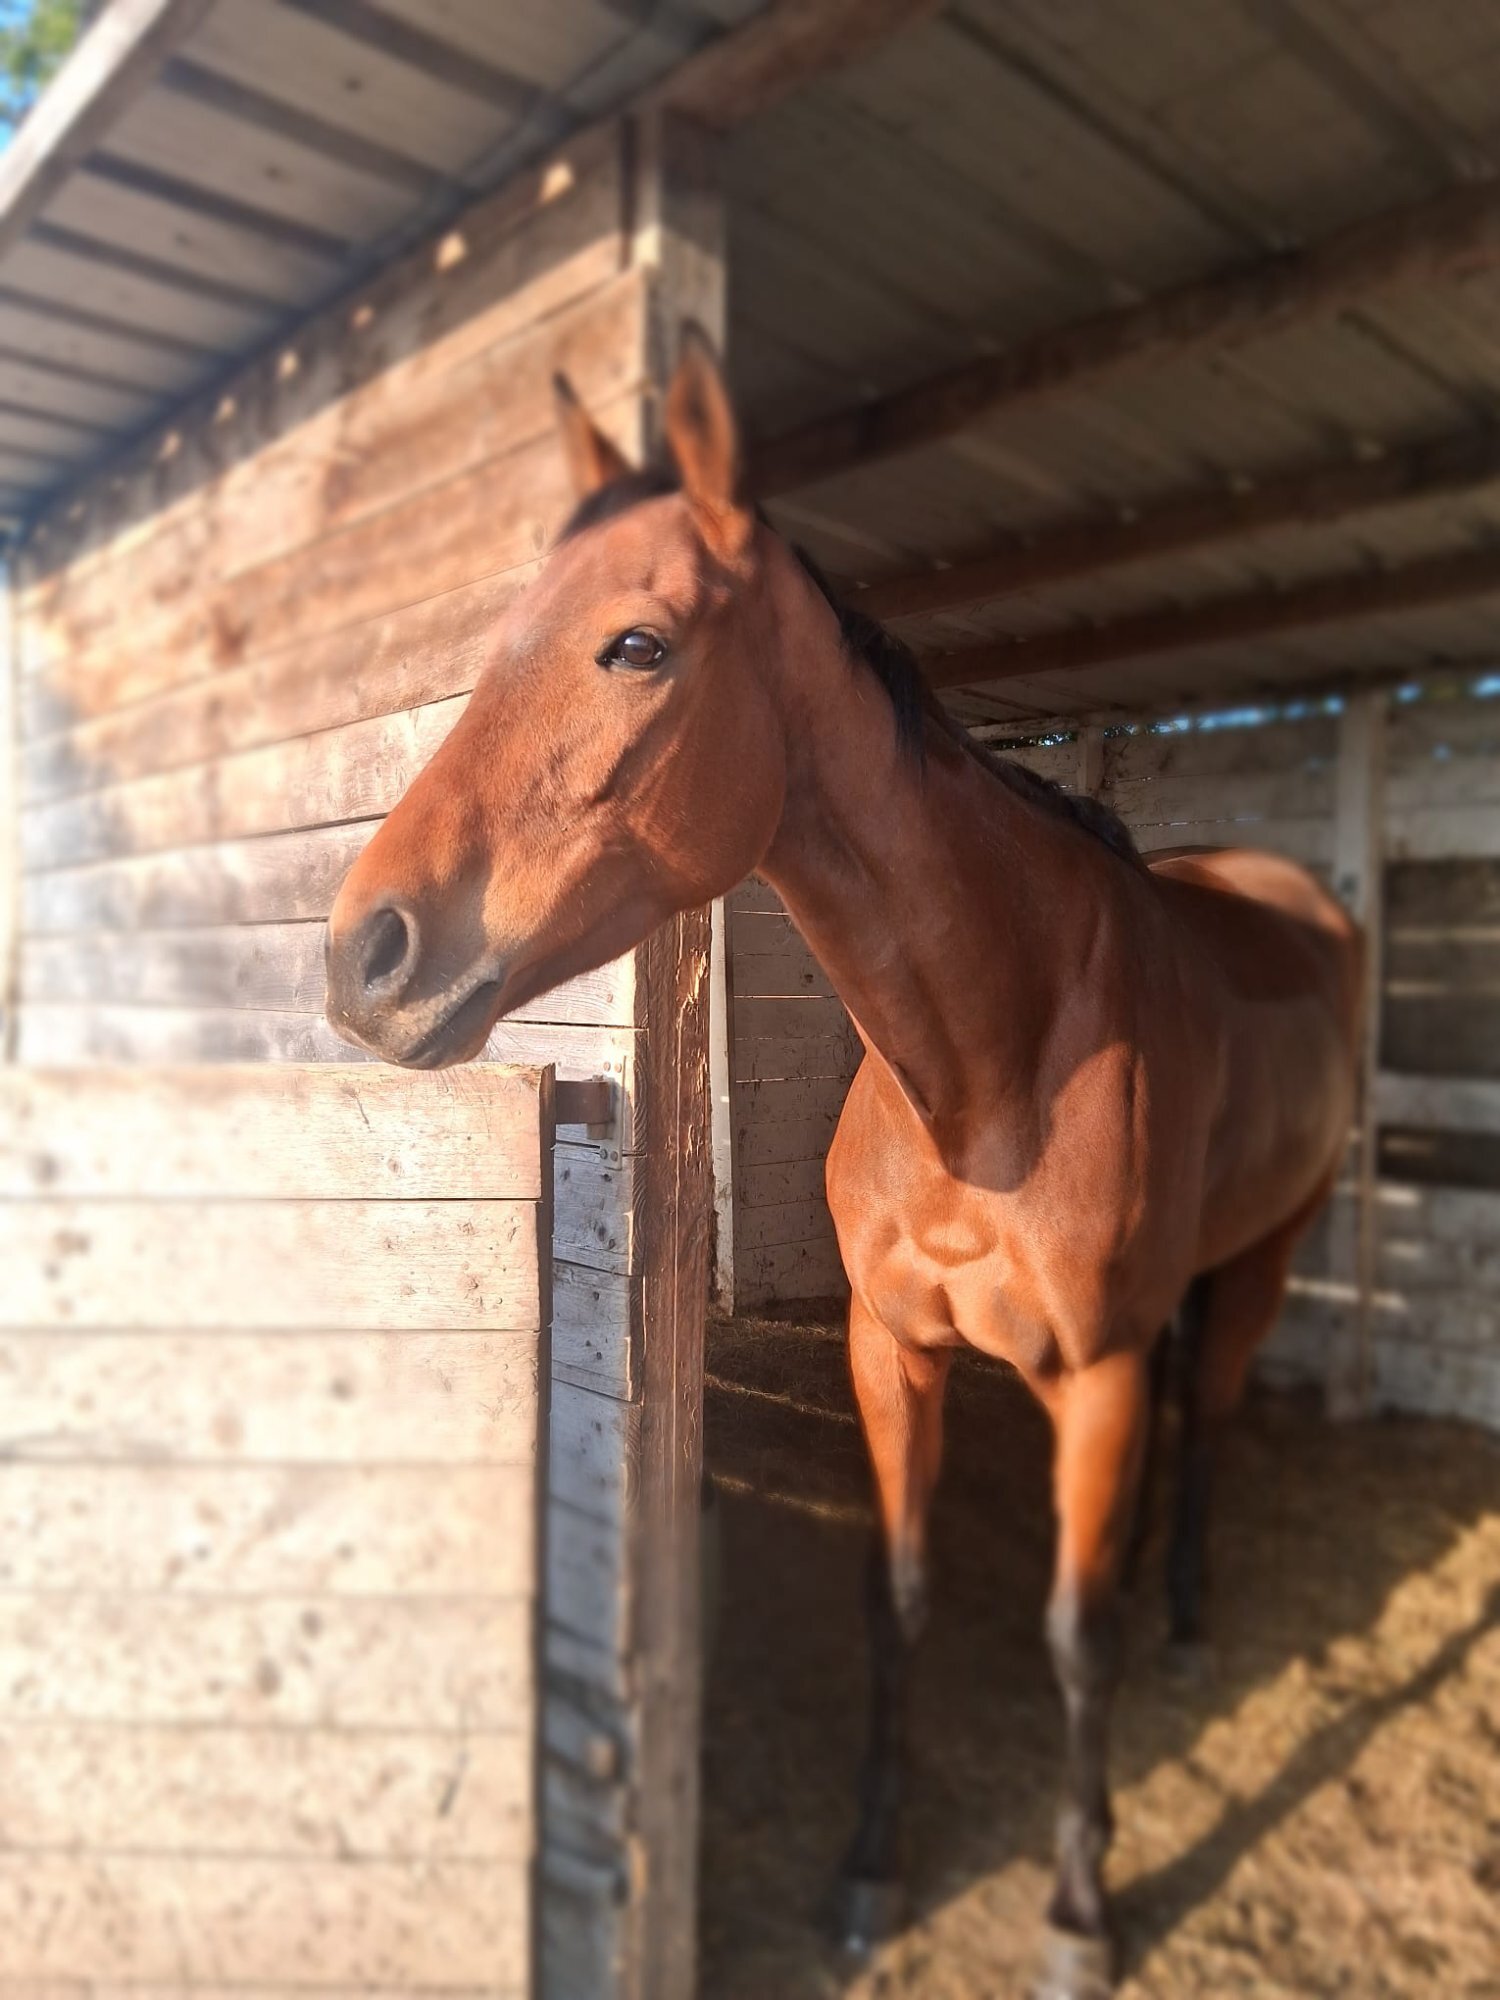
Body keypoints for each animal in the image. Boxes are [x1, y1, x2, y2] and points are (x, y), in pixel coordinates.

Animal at [325, 328, 1362, 1999]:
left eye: (636, 645)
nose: (365, 958)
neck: (997, 1072)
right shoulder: (894, 1348)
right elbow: (901, 1595)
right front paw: (873, 1866)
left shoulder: (1092, 1370)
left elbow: (1074, 1640)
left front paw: (1081, 1906)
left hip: (1261, 1256)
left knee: (1207, 1419)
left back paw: (1189, 1610)